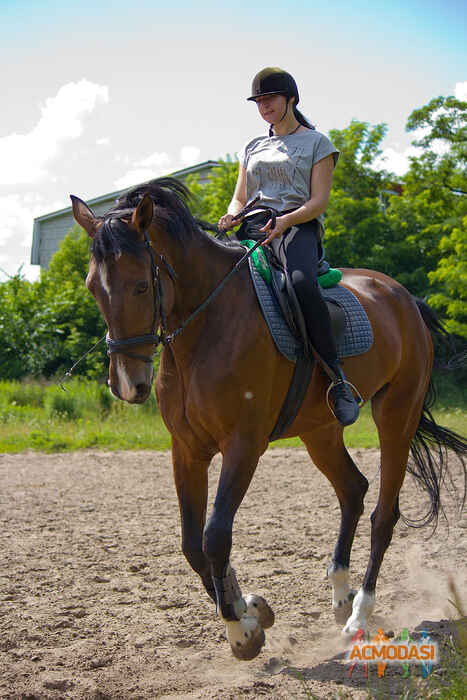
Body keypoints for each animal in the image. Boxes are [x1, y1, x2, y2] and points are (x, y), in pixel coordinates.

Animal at [70, 178, 467, 660]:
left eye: (141, 286)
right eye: (93, 287)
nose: (128, 385)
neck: (206, 328)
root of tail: (403, 297)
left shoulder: (243, 445)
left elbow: (215, 536)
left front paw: (242, 631)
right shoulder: (186, 449)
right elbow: (192, 545)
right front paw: (250, 608)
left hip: (397, 415)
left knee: (383, 516)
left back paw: (358, 617)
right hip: (320, 432)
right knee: (353, 490)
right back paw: (341, 594)